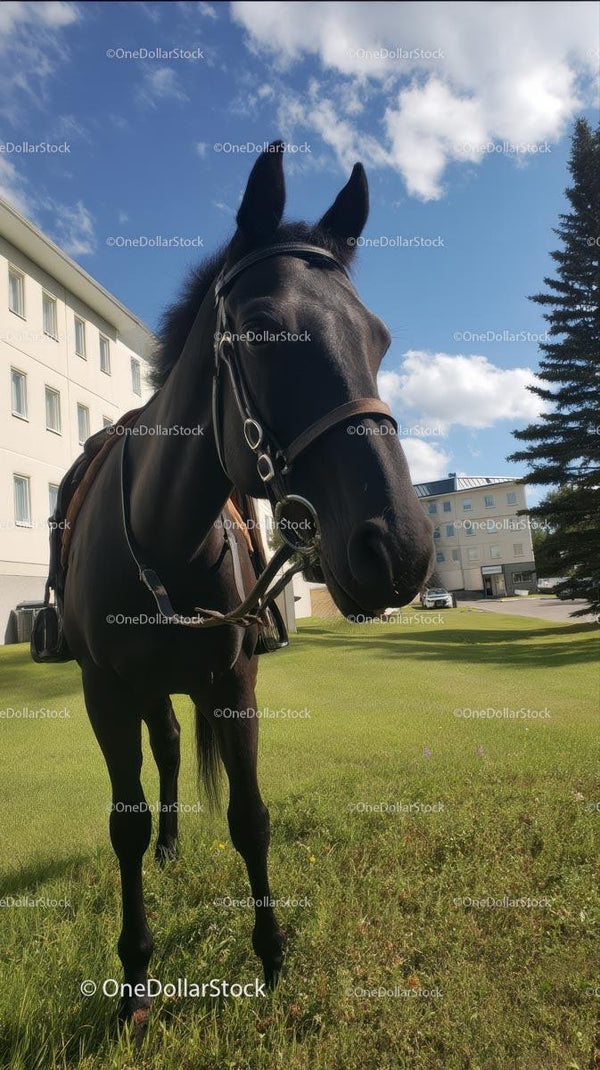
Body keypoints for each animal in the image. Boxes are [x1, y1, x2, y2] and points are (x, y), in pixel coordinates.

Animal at [60, 141, 434, 1035]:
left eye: (379, 339)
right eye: (263, 333)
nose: (401, 546)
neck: (163, 534)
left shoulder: (234, 683)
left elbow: (250, 817)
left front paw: (270, 959)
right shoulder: (103, 693)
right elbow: (124, 825)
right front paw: (135, 978)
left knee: (171, 747)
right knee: (160, 755)